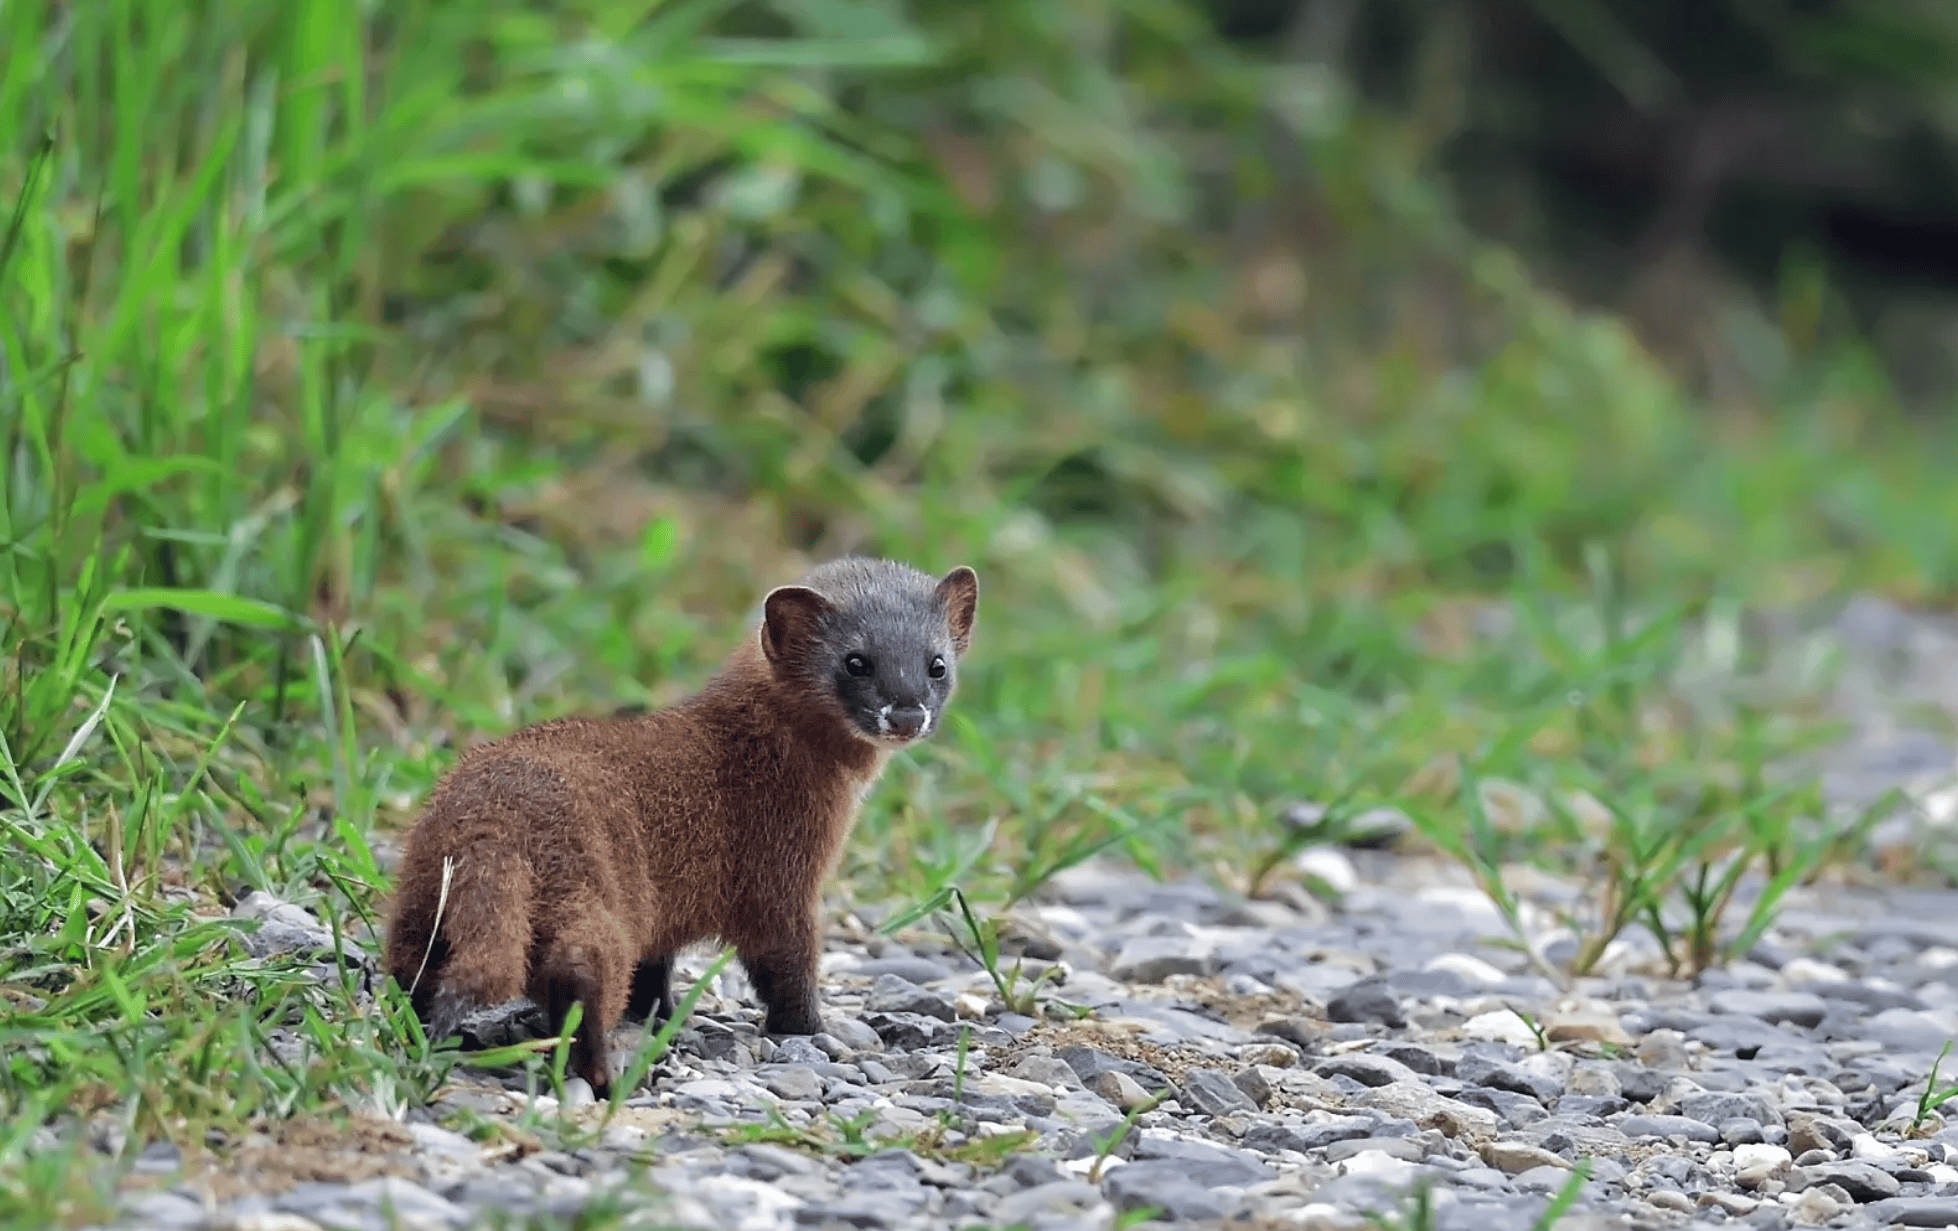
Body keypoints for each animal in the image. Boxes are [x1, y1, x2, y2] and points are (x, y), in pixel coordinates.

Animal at [379, 555, 979, 1088]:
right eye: (855, 661)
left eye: (937, 664)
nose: (906, 714)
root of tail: (493, 818)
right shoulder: (778, 870)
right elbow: (785, 959)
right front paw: (810, 1027)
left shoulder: (665, 908)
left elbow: (655, 966)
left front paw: (660, 1014)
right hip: (592, 882)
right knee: (582, 970)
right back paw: (603, 1074)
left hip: (423, 891)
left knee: (415, 963)